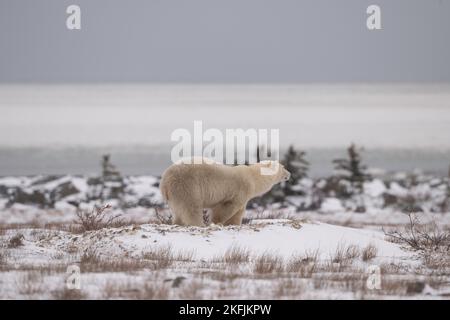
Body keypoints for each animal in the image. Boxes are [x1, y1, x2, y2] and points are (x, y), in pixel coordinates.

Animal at [160, 159, 290, 226]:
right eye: (283, 167)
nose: (289, 174)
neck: (253, 178)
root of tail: (165, 181)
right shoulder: (240, 191)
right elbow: (227, 208)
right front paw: (217, 222)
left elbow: (237, 213)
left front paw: (233, 224)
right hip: (187, 186)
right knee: (191, 208)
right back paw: (198, 224)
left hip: (175, 195)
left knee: (179, 210)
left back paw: (177, 223)